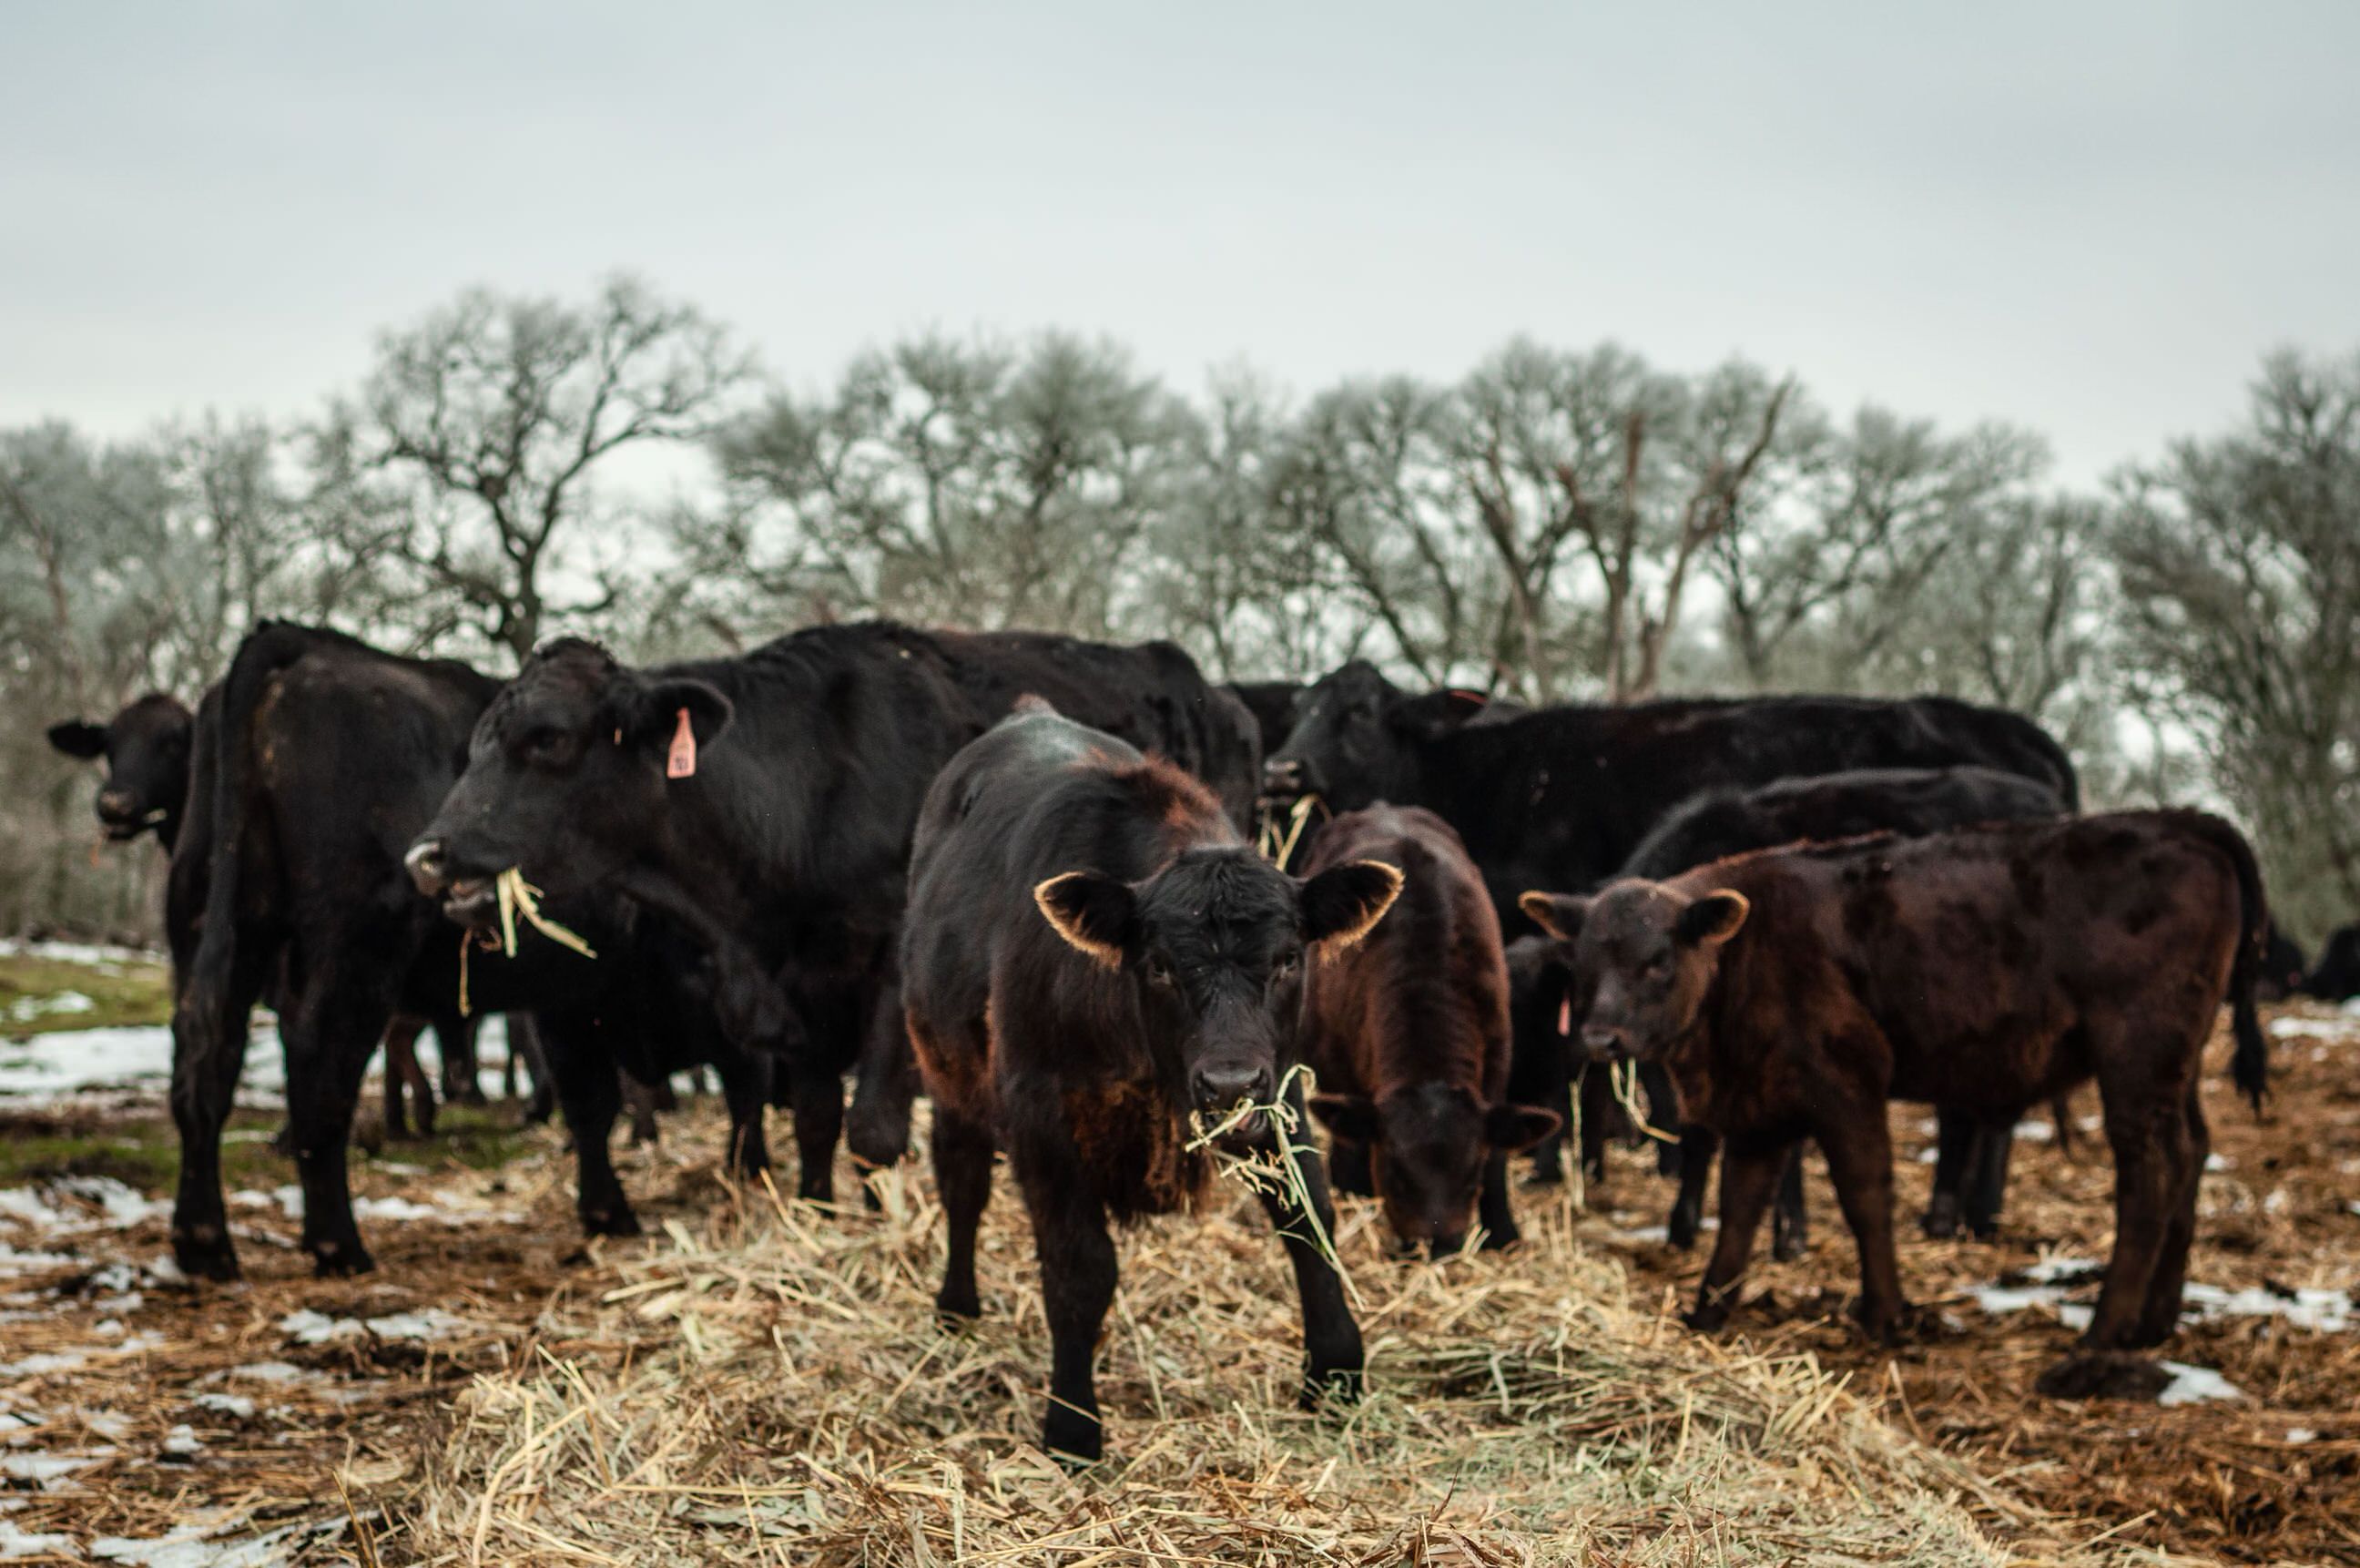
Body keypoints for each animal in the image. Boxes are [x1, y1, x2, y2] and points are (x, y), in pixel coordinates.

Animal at [405, 622, 1260, 1199]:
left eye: (548, 738)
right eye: (476, 742)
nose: (428, 855)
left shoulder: (891, 977)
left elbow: (873, 1131)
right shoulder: (798, 997)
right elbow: (815, 1121)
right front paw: (820, 1210)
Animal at [900, 704, 1399, 1462]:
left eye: (1288, 958)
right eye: (1160, 965)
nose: (1227, 1082)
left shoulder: (1279, 1089)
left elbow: (1308, 1219)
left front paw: (1336, 1371)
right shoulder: (1038, 1108)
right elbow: (1080, 1265)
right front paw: (1072, 1422)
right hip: (948, 1069)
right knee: (962, 1184)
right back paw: (956, 1309)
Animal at [1292, 807, 1557, 1255]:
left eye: (1470, 1175)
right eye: (1396, 1173)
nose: (1438, 1243)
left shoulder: (1498, 1062)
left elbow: (1498, 1159)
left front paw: (1502, 1232)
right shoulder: (1332, 1066)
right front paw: (1353, 1193)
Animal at [1520, 809, 2267, 1349]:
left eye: (1657, 959)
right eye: (1582, 962)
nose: (1600, 1036)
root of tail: (2187, 821)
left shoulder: (1846, 1082)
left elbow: (1865, 1196)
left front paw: (1883, 1315)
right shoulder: (1760, 1108)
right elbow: (1738, 1210)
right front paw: (1707, 1311)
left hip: (2137, 1056)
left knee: (2151, 1172)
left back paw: (2099, 1344)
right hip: (2175, 1067)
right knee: (2192, 1154)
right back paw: (2154, 1325)